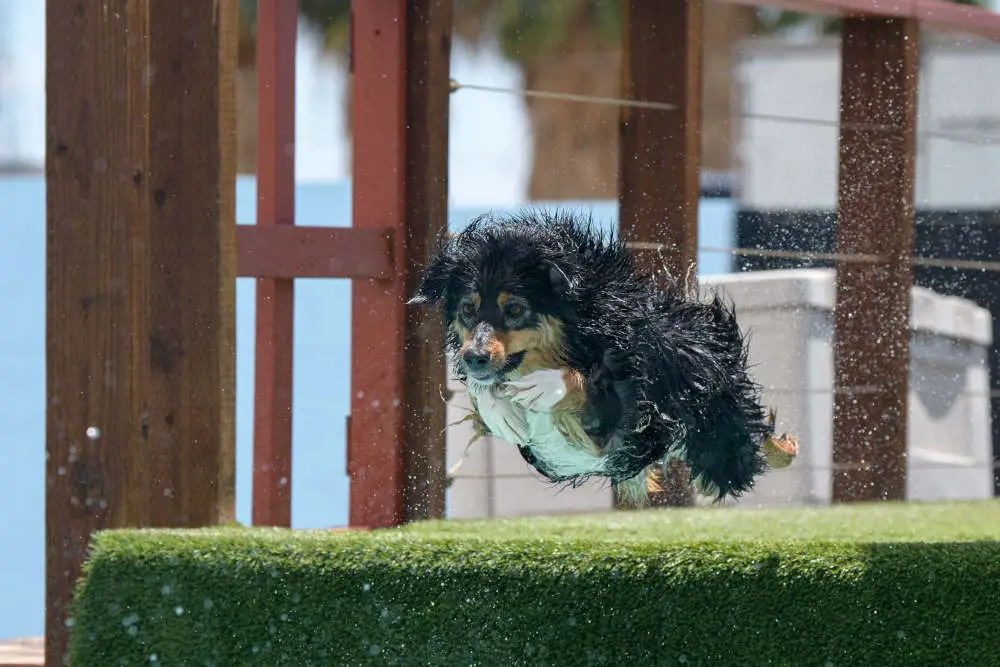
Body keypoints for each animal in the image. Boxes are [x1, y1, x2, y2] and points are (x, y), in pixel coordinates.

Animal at [408, 209, 796, 506]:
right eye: (467, 310)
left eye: (515, 309)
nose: (474, 357)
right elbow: (483, 395)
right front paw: (496, 406)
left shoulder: (628, 411)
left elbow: (586, 383)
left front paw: (549, 386)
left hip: (721, 440)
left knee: (754, 442)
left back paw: (784, 446)